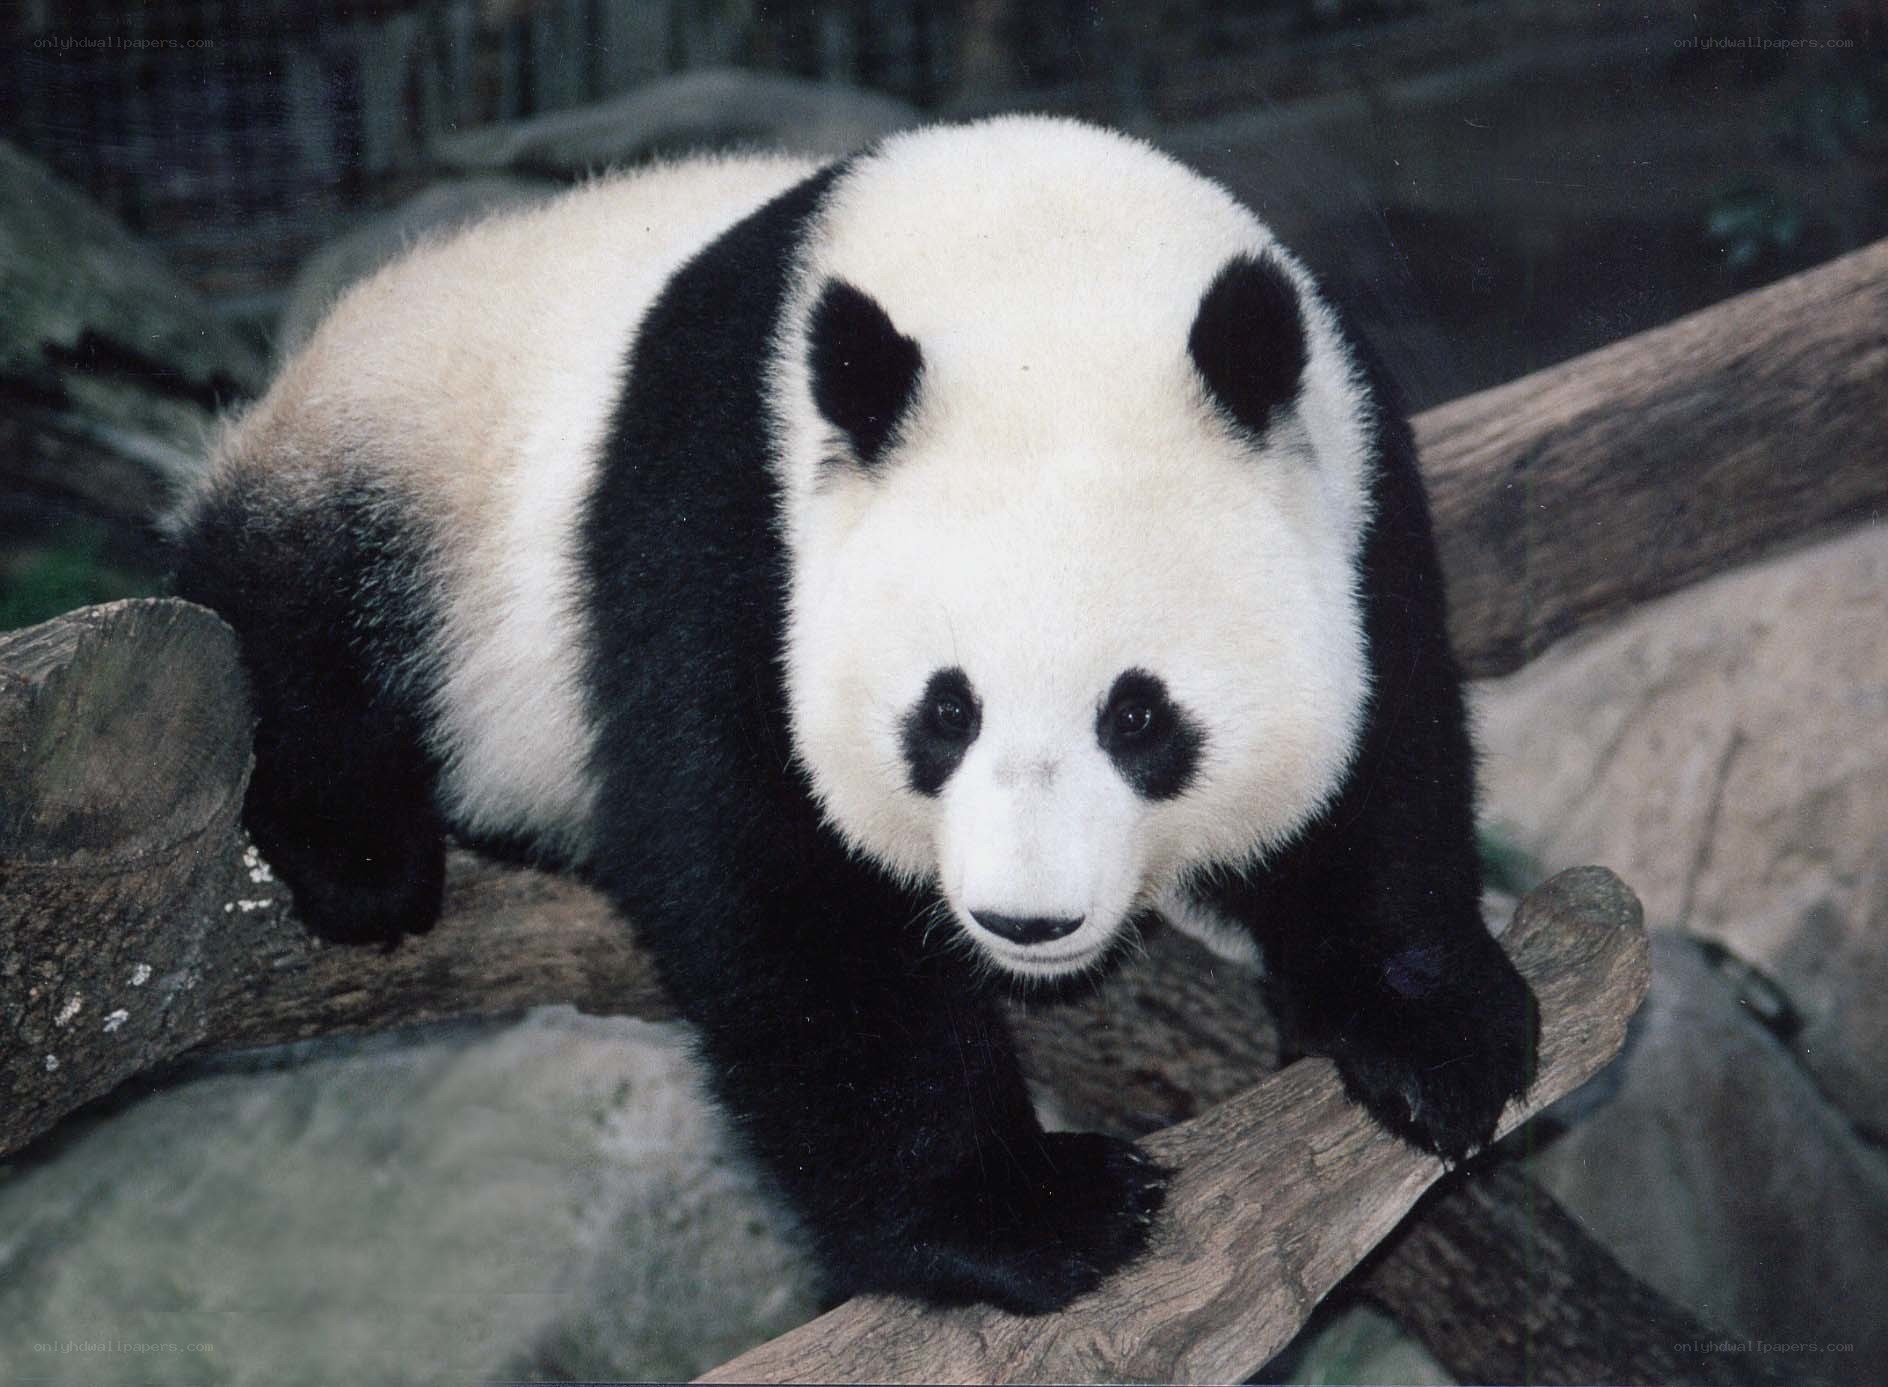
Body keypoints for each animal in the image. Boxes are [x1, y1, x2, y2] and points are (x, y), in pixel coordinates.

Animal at [171, 116, 1536, 1314]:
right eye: (945, 711)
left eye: (1140, 717)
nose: (1026, 920)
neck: (1041, 277)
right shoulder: (730, 519)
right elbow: (772, 877)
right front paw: (1028, 1212)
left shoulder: (1354, 485)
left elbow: (1385, 746)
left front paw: (1437, 1034)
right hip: (413, 460)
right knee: (291, 613)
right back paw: (360, 852)